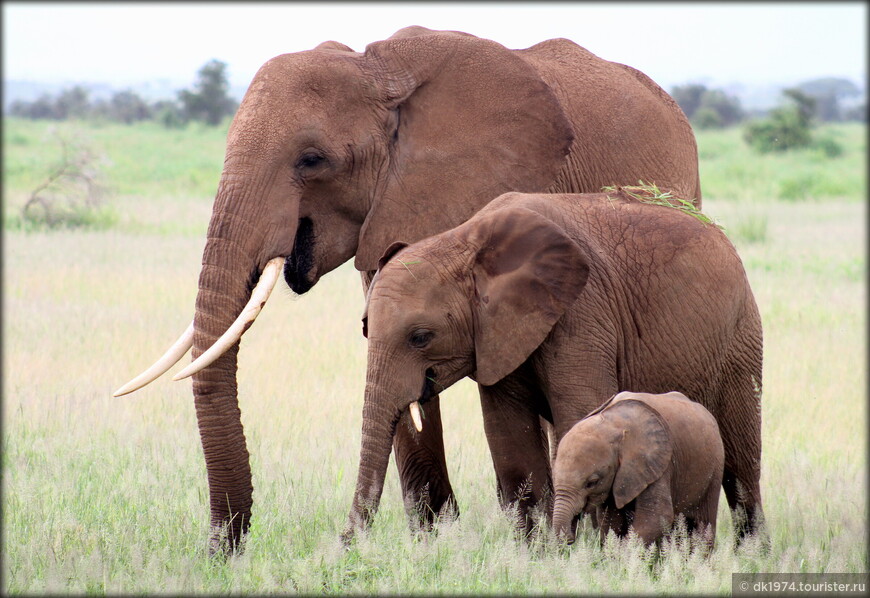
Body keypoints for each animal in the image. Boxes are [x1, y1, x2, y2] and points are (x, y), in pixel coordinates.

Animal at [556, 392, 724, 552]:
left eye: (592, 483)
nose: (570, 538)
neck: (613, 423)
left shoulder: (657, 463)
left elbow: (656, 517)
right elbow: (610, 520)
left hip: (715, 467)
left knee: (703, 525)